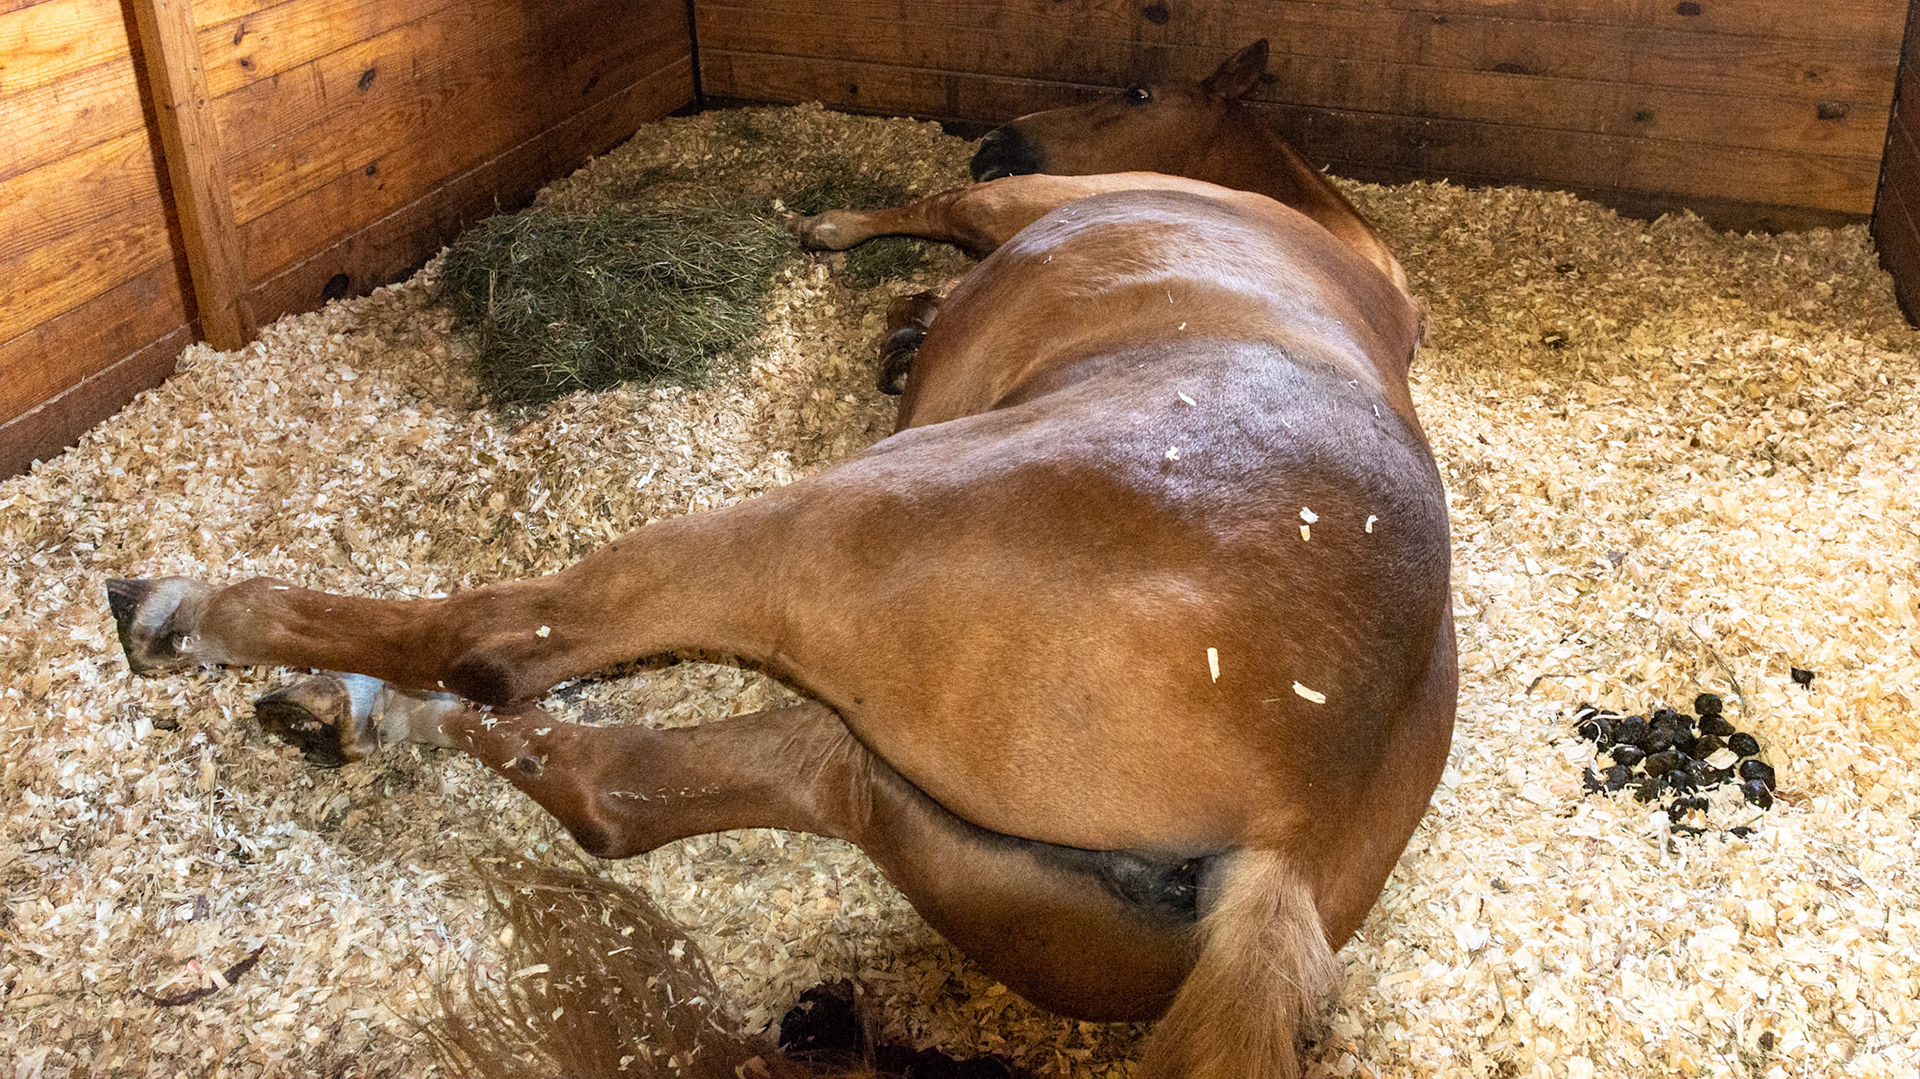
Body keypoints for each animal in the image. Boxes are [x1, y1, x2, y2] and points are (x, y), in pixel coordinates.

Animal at [105, 41, 1455, 1079]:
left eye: (1132, 89)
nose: (998, 139)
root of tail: (1291, 838)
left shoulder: (1006, 212)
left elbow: (934, 210)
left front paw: (834, 228)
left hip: (808, 538)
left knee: (506, 640)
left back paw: (189, 613)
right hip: (896, 794)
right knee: (625, 787)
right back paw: (359, 712)